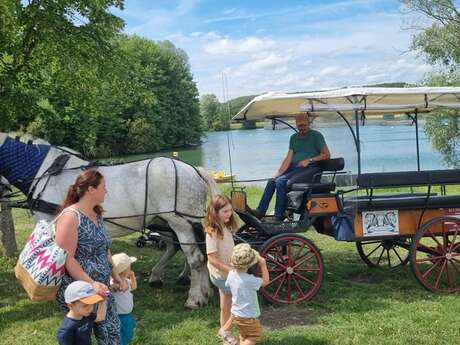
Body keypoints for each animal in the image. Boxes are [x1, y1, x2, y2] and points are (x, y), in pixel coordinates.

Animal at [0, 132, 218, 306]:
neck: (47, 173)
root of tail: (195, 170)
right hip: (167, 221)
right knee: (185, 249)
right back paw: (196, 289)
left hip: (180, 223)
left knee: (195, 258)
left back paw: (195, 298)